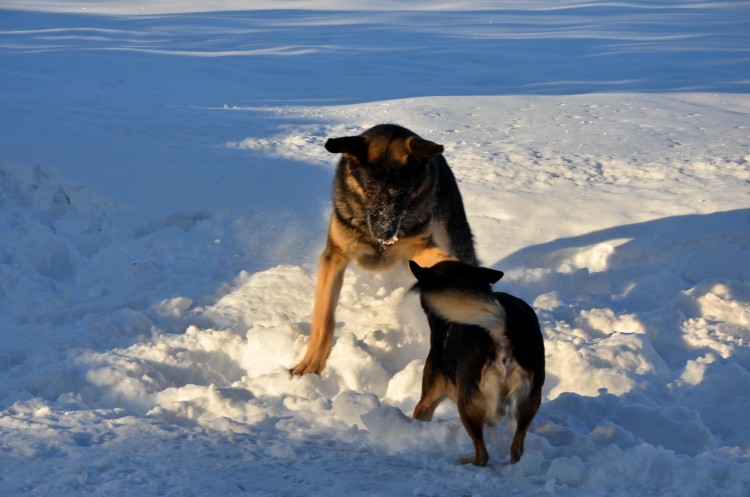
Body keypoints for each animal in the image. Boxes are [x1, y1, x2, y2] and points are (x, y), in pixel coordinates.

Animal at [290, 124, 478, 376]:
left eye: (403, 193)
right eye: (370, 190)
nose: (384, 235)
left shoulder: (417, 249)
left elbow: (446, 261)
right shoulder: (335, 256)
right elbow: (324, 318)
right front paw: (311, 364)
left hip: (452, 230)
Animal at [412, 258, 548, 466]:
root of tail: (502, 331)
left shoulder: (430, 395)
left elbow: (419, 414)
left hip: (467, 403)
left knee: (483, 455)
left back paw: (468, 461)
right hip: (530, 400)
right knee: (516, 448)